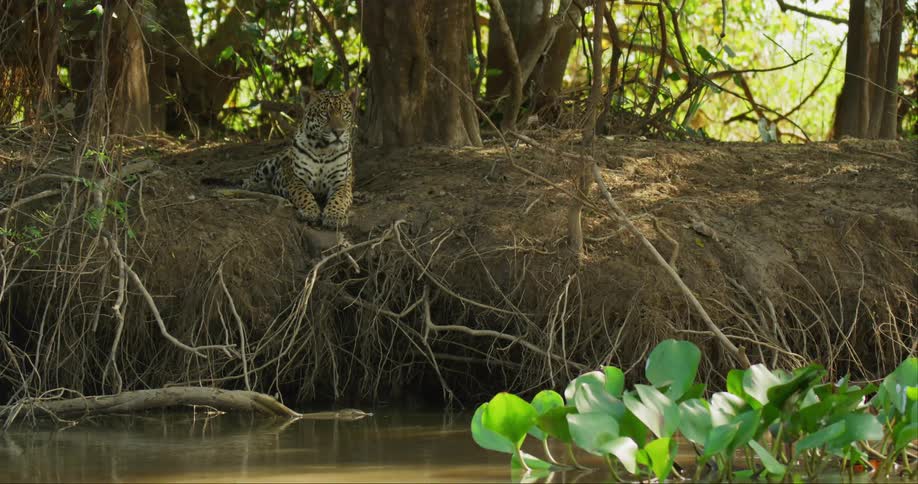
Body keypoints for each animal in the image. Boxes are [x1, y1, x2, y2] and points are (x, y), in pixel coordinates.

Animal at [242, 88, 357, 229]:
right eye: (324, 114)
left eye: (345, 113)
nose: (339, 132)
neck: (323, 150)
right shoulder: (295, 179)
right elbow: (303, 194)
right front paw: (310, 212)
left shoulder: (342, 182)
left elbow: (339, 198)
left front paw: (334, 216)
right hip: (272, 163)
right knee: (256, 172)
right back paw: (253, 185)